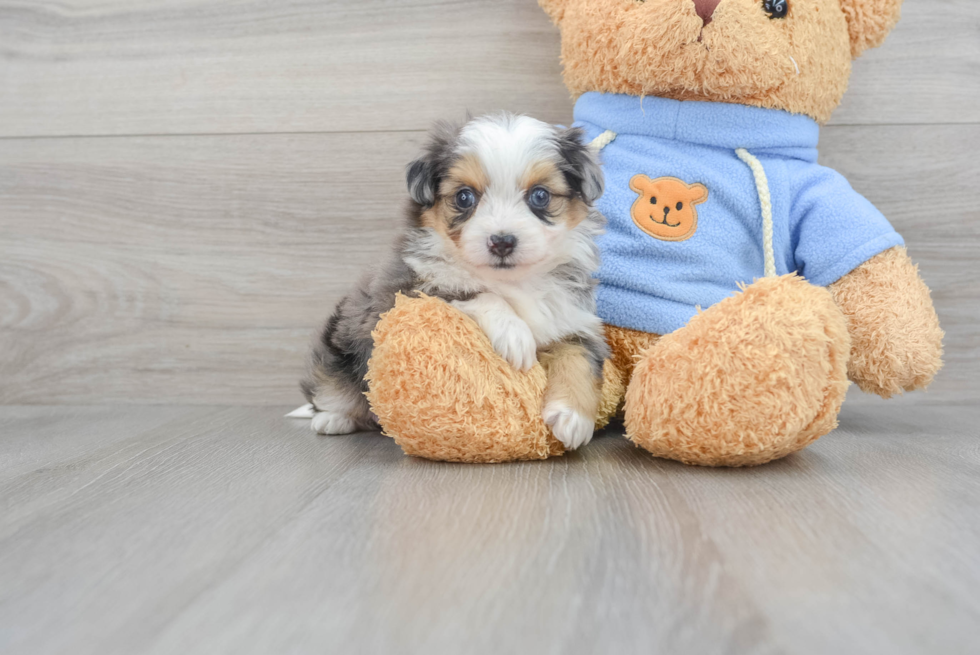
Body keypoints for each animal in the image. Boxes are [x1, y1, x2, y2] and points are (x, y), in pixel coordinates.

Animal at [294, 113, 608, 452]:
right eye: (464, 197)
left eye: (540, 195)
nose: (502, 242)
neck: (513, 281)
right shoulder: (409, 291)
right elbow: (478, 294)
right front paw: (514, 334)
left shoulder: (572, 318)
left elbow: (580, 358)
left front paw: (573, 417)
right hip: (335, 350)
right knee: (329, 390)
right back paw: (333, 419)